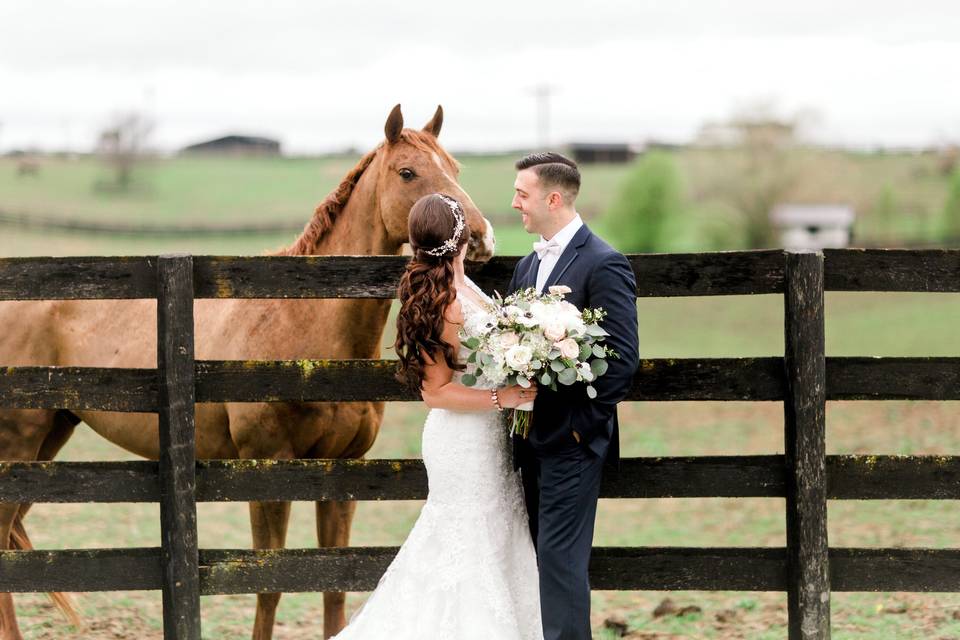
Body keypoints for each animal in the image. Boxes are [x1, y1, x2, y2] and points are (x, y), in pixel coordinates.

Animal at [0, 106, 496, 640]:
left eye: (455, 168)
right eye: (408, 172)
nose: (480, 237)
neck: (301, 320)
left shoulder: (344, 473)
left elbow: (335, 585)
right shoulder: (268, 470)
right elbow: (269, 586)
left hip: (50, 443)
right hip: (20, 445)